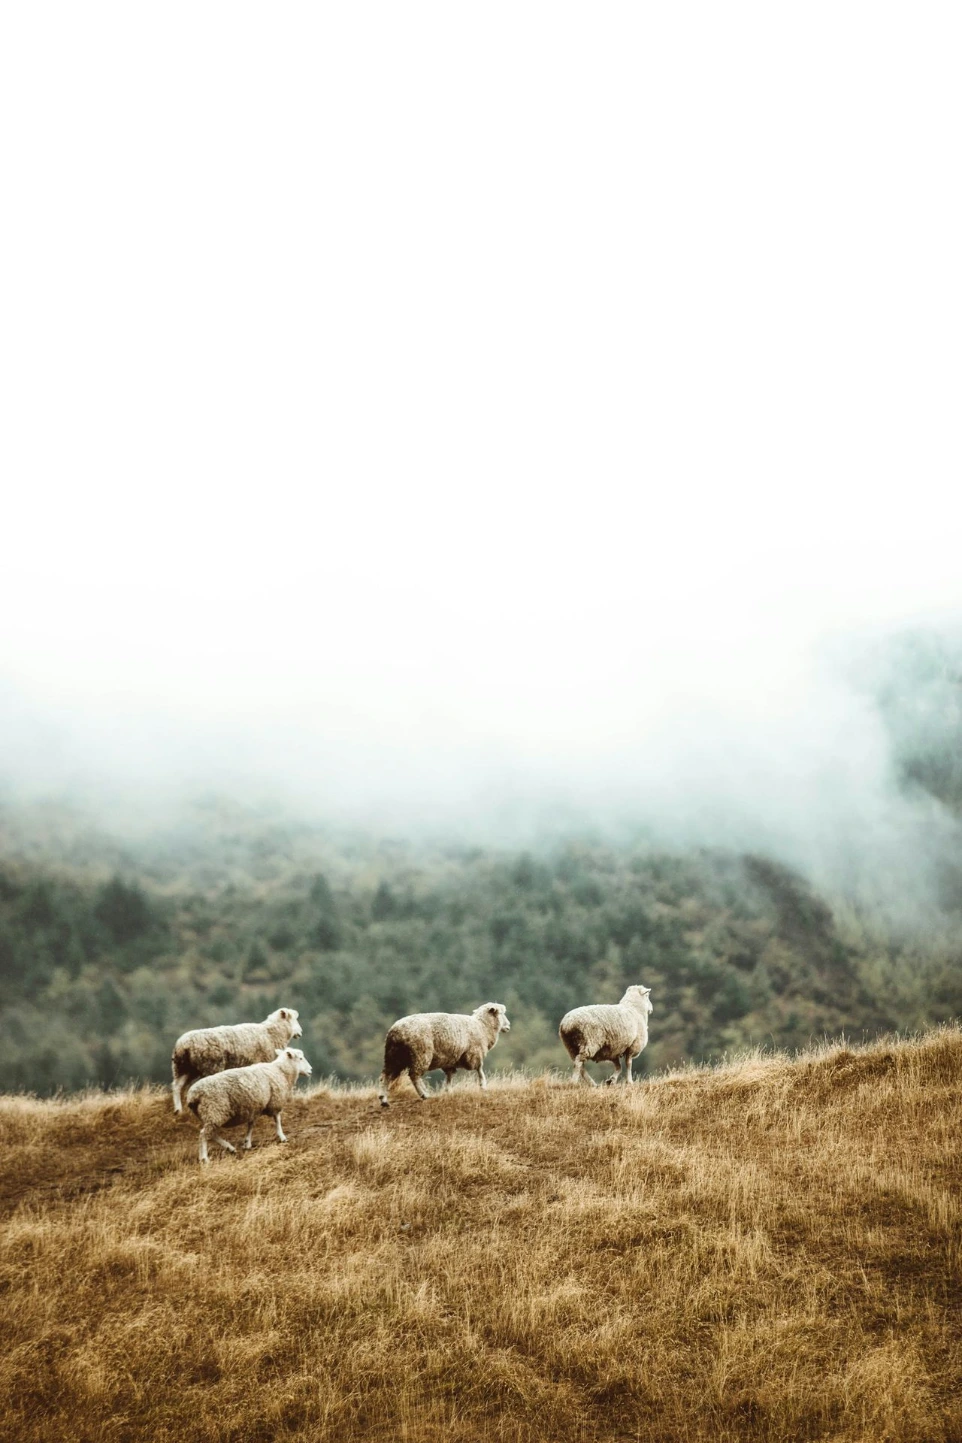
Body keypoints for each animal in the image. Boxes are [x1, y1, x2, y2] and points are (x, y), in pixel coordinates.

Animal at [171, 1007, 302, 1114]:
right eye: (293, 1019)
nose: (300, 1033)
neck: (270, 1033)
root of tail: (183, 1045)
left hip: (183, 1068)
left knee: (177, 1086)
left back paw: (178, 1110)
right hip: (209, 1066)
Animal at [377, 1003, 511, 1106]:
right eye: (501, 1013)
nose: (508, 1026)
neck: (482, 1026)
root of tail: (396, 1031)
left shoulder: (450, 1061)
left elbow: (449, 1076)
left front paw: (448, 1092)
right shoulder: (475, 1054)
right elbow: (479, 1070)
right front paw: (483, 1086)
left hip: (393, 1056)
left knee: (386, 1075)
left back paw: (383, 1099)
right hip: (421, 1054)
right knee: (414, 1075)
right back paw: (424, 1094)